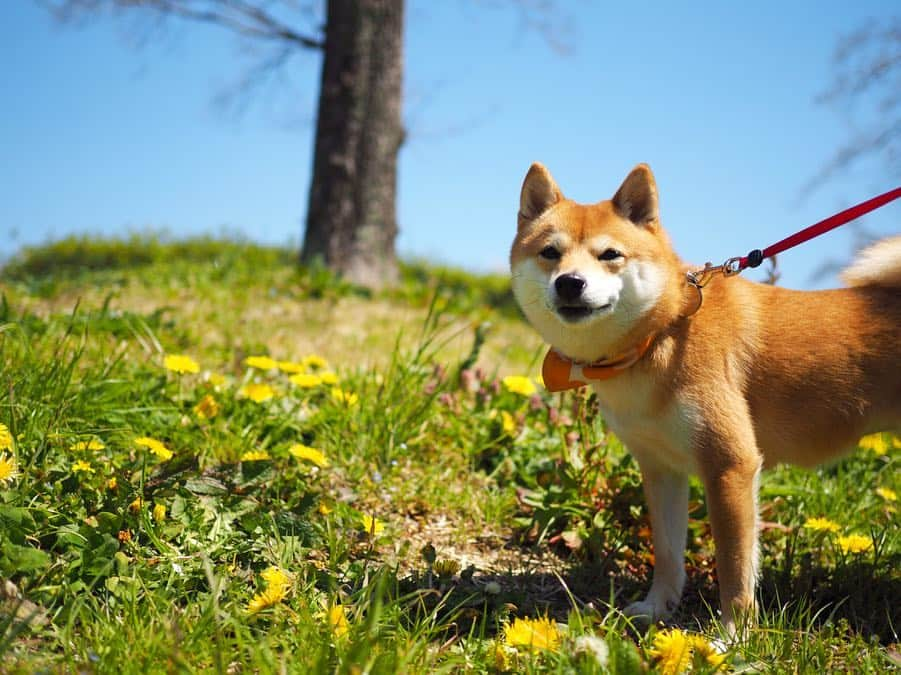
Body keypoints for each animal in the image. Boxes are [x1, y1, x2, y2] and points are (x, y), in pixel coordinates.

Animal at [510, 162, 900, 632]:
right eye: (550, 253)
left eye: (610, 255)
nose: (570, 283)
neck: (661, 335)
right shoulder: (661, 469)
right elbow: (667, 555)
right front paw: (657, 608)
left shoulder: (730, 465)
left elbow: (734, 566)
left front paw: (733, 635)